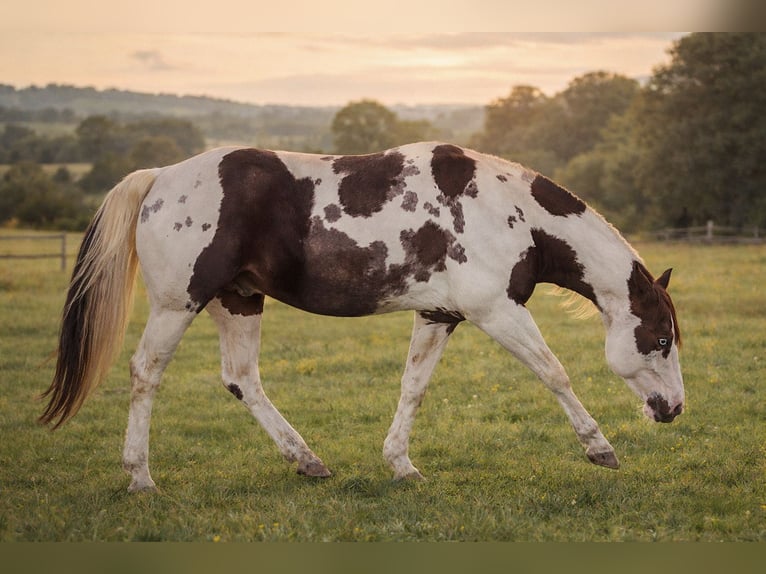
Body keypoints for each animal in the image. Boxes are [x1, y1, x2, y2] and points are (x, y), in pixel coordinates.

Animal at [40, 142, 684, 492]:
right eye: (659, 339)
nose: (673, 409)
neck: (509, 211)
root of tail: (158, 178)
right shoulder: (496, 311)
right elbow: (555, 373)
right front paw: (600, 448)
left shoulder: (439, 313)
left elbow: (413, 388)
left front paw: (401, 464)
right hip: (180, 304)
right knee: (145, 373)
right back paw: (140, 476)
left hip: (239, 298)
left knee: (242, 380)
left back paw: (308, 461)